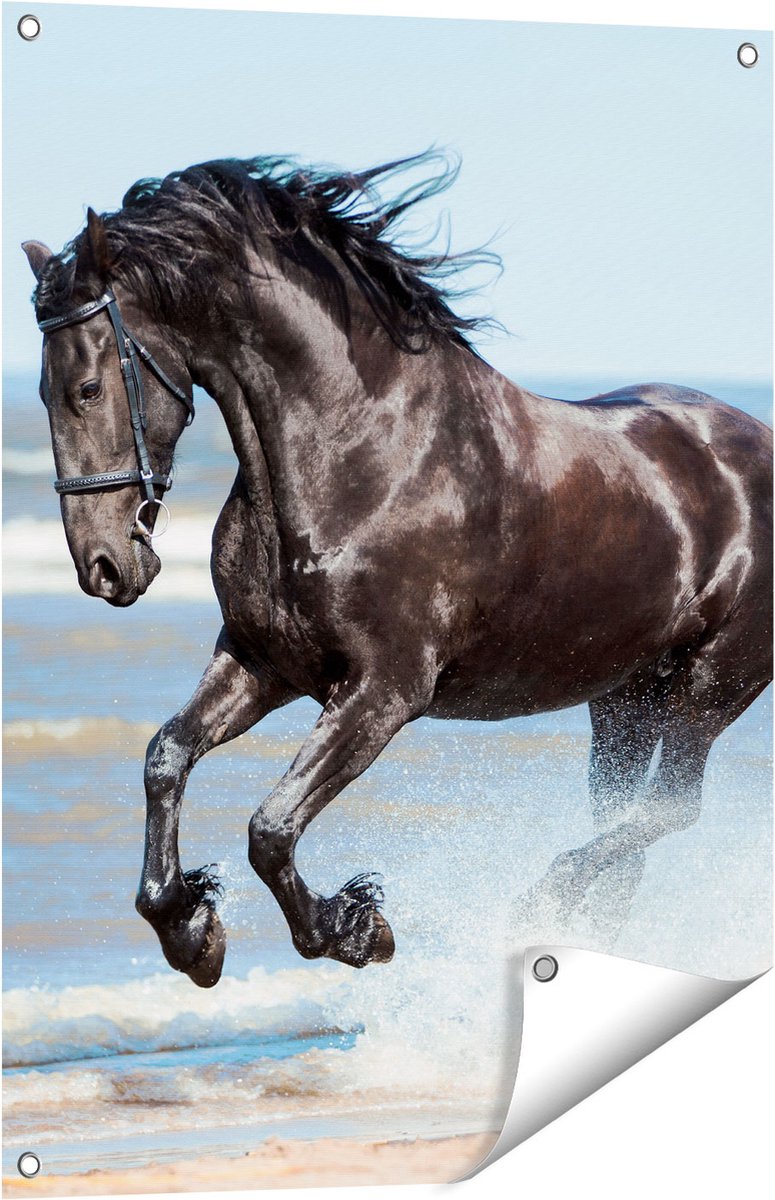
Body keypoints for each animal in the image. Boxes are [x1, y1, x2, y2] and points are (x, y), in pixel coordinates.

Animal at [23, 154, 772, 988]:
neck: (362, 453)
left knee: (666, 810)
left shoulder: (384, 690)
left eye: (88, 389)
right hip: (623, 698)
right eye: (42, 391)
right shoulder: (261, 662)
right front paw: (191, 930)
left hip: (710, 686)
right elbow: (166, 757)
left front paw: (353, 928)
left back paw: (533, 906)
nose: (104, 567)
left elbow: (270, 828)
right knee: (624, 823)